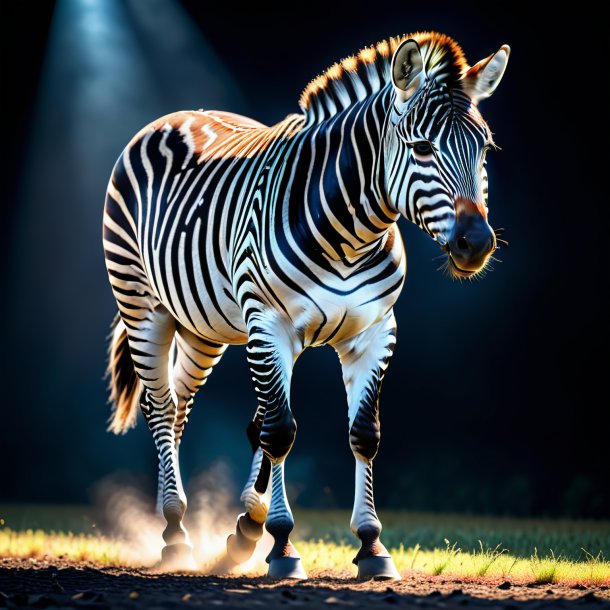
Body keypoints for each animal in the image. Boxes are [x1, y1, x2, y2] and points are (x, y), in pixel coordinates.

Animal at [103, 30, 508, 576]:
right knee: (163, 407)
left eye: (484, 148)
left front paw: (370, 544)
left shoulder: (375, 331)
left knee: (184, 403)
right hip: (145, 307)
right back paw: (175, 534)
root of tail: (175, 115)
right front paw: (282, 544)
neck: (352, 237)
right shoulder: (269, 323)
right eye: (422, 147)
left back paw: (229, 526)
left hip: (205, 326)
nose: (476, 243)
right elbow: (280, 432)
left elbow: (363, 433)